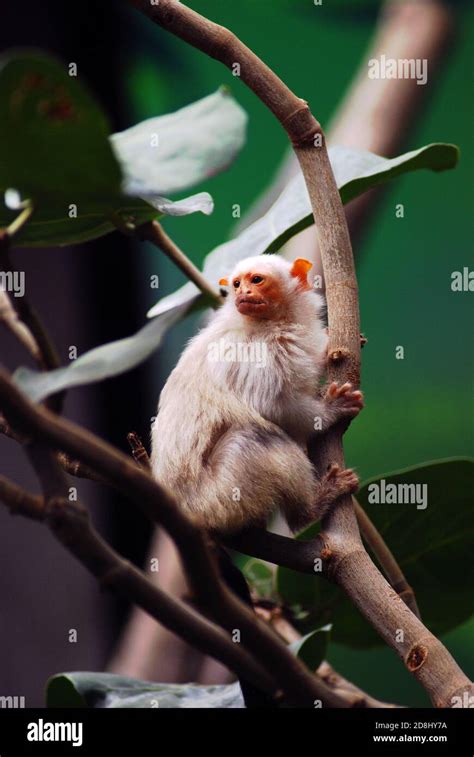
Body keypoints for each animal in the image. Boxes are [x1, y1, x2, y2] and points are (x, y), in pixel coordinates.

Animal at [151, 254, 363, 534]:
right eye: (237, 284)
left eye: (256, 280)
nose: (243, 293)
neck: (274, 321)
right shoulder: (260, 353)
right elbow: (269, 406)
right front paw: (331, 409)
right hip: (218, 498)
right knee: (255, 438)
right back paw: (311, 508)